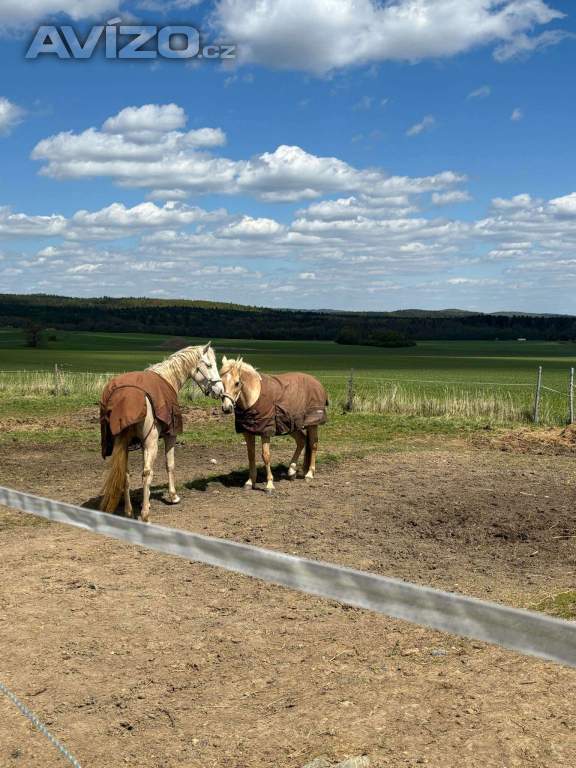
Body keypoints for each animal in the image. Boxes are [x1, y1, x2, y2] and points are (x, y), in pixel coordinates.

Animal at [100, 344, 223, 520]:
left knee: (127, 474)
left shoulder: (142, 444)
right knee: (146, 473)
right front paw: (173, 496)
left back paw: (129, 512)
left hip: (124, 445)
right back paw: (145, 515)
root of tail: (123, 398)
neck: (167, 378)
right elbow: (169, 464)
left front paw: (146, 500)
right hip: (151, 443)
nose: (220, 390)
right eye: (209, 365)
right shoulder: (170, 436)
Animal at [220, 358, 328, 496]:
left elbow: (266, 456)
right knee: (301, 441)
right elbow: (251, 455)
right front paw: (250, 482)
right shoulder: (247, 432)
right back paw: (291, 471)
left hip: (312, 423)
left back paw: (309, 474)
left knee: (313, 444)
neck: (254, 397)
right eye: (221, 381)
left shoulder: (266, 432)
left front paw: (269, 485)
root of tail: (317, 382)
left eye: (237, 383)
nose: (226, 408)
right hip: (291, 425)